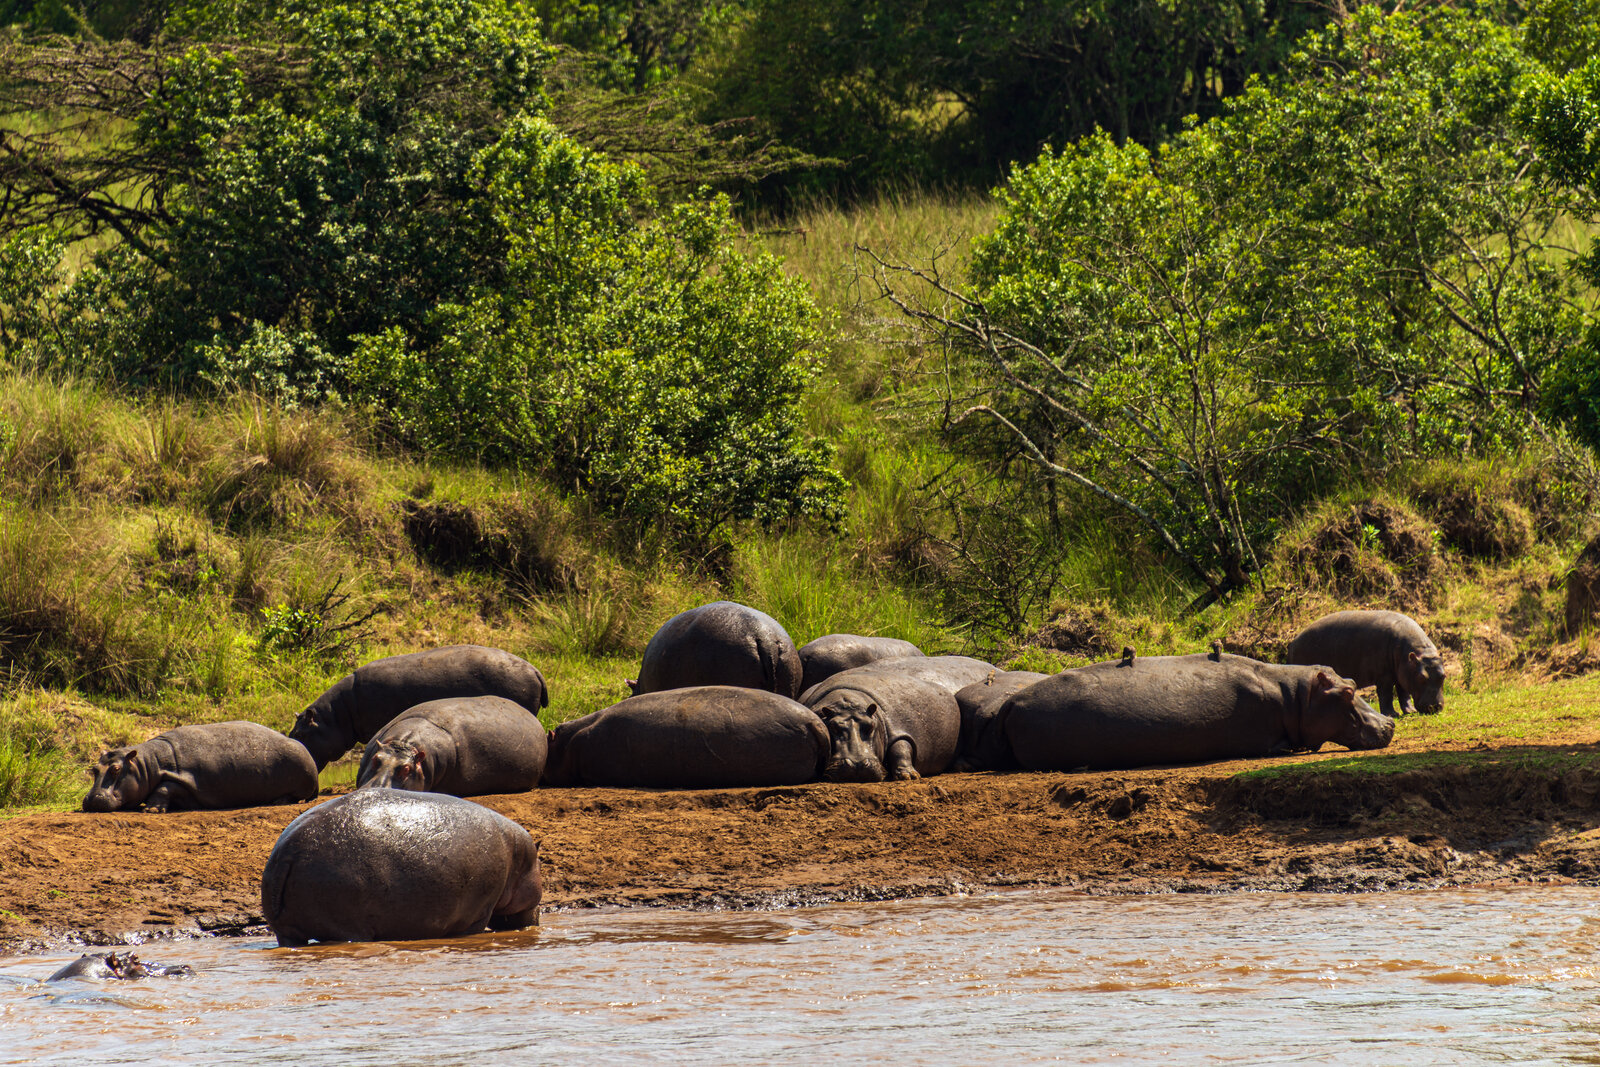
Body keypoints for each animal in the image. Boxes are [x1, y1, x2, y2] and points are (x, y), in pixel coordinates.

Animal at [83, 721, 319, 813]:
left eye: (115, 769)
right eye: (94, 769)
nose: (92, 799)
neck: (146, 765)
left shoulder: (186, 778)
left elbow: (165, 787)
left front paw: (152, 810)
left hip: (302, 781)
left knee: (296, 796)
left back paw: (278, 801)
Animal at [260, 789, 543, 946]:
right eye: (538, 867)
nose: (536, 922)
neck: (517, 856)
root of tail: (287, 851)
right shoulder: (479, 913)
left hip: (287, 931)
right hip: (347, 927)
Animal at [801, 669, 961, 782]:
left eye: (871, 726)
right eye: (833, 727)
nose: (857, 764)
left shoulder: (896, 728)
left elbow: (900, 747)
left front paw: (909, 776)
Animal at [1287, 610, 1446, 716]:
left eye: (1443, 676)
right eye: (1421, 677)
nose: (1435, 707)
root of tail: (1293, 642)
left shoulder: (1403, 672)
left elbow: (1404, 693)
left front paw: (1410, 711)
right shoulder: (1385, 676)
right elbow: (1386, 694)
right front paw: (1392, 714)